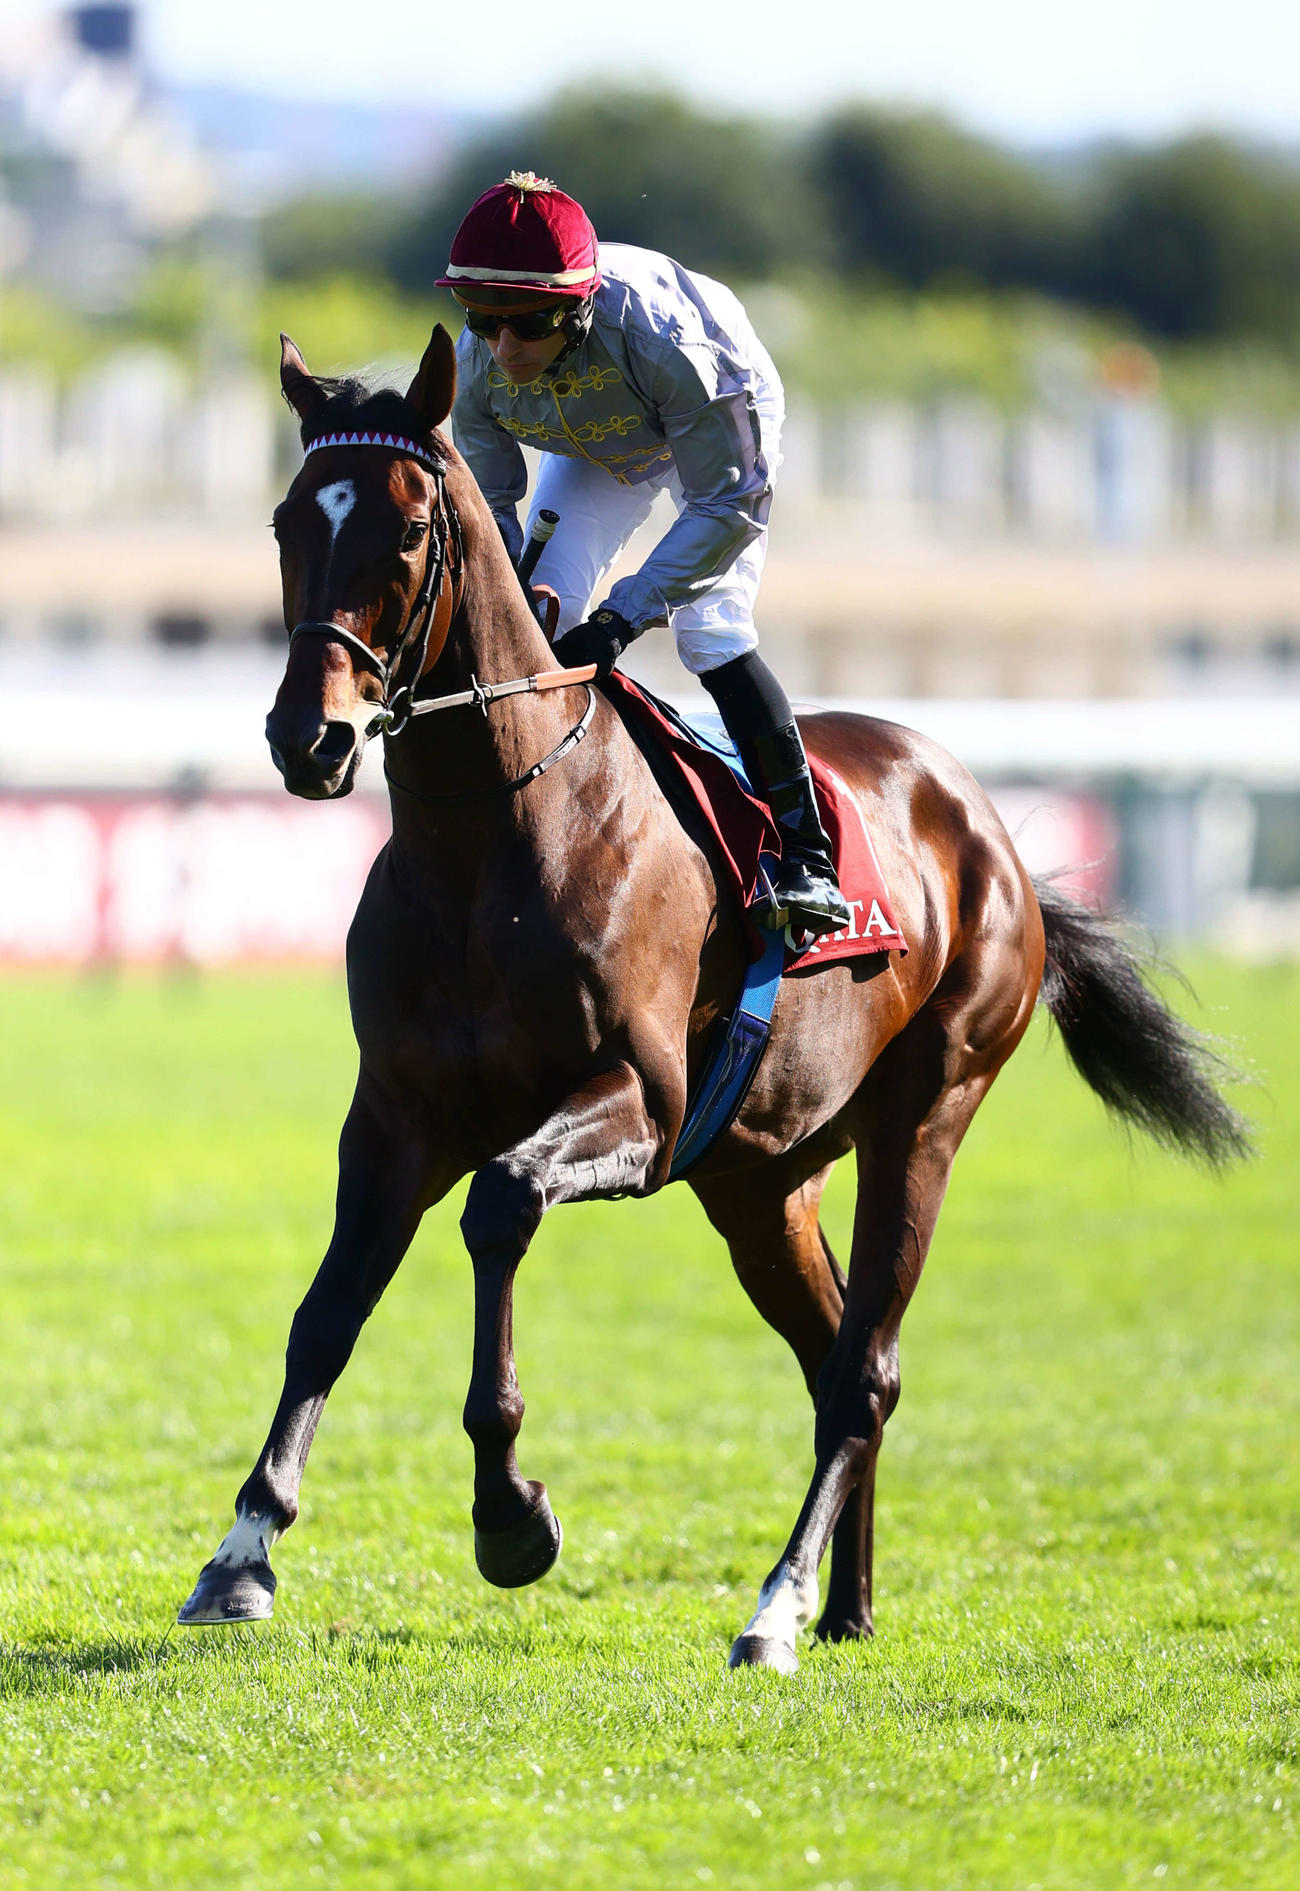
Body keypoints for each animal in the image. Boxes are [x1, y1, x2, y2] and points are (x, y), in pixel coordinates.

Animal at [178, 326, 1246, 1673]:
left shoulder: (638, 1103)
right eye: (287, 520)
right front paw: (241, 1552)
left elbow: (499, 1205)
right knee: (831, 1347)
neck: (493, 841)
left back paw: (776, 1607)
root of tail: (986, 823)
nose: (306, 739)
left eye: (410, 528)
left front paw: (510, 1512)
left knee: (864, 1367)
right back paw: (844, 1604)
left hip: (926, 1113)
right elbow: (326, 1311)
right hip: (760, 1178)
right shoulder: (395, 1114)